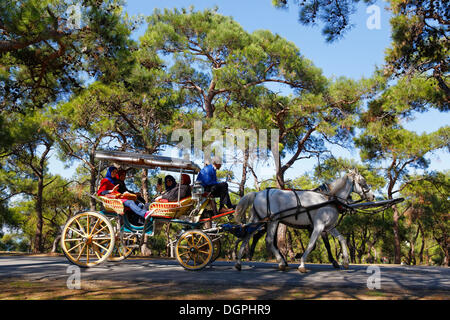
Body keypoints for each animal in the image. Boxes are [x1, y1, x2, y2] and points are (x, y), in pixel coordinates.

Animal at [234, 170, 374, 272]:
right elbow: (312, 244)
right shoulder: (318, 226)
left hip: (259, 221)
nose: (373, 196)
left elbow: (342, 240)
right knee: (268, 240)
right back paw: (281, 262)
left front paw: (345, 262)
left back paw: (239, 262)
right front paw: (301, 263)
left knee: (247, 236)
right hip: (272, 221)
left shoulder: (329, 227)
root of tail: (258, 194)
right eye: (363, 181)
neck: (328, 199)